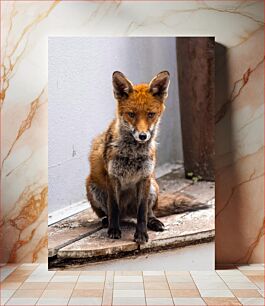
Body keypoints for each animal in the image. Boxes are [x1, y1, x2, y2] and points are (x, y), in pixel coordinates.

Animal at [86, 71, 206, 244]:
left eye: (150, 114)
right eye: (131, 114)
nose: (142, 136)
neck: (132, 155)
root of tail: (127, 213)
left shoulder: (145, 177)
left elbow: (142, 212)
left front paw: (141, 234)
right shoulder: (113, 177)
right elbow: (113, 207)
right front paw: (113, 230)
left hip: (153, 187)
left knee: (148, 212)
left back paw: (154, 222)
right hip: (93, 187)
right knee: (112, 213)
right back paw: (107, 221)